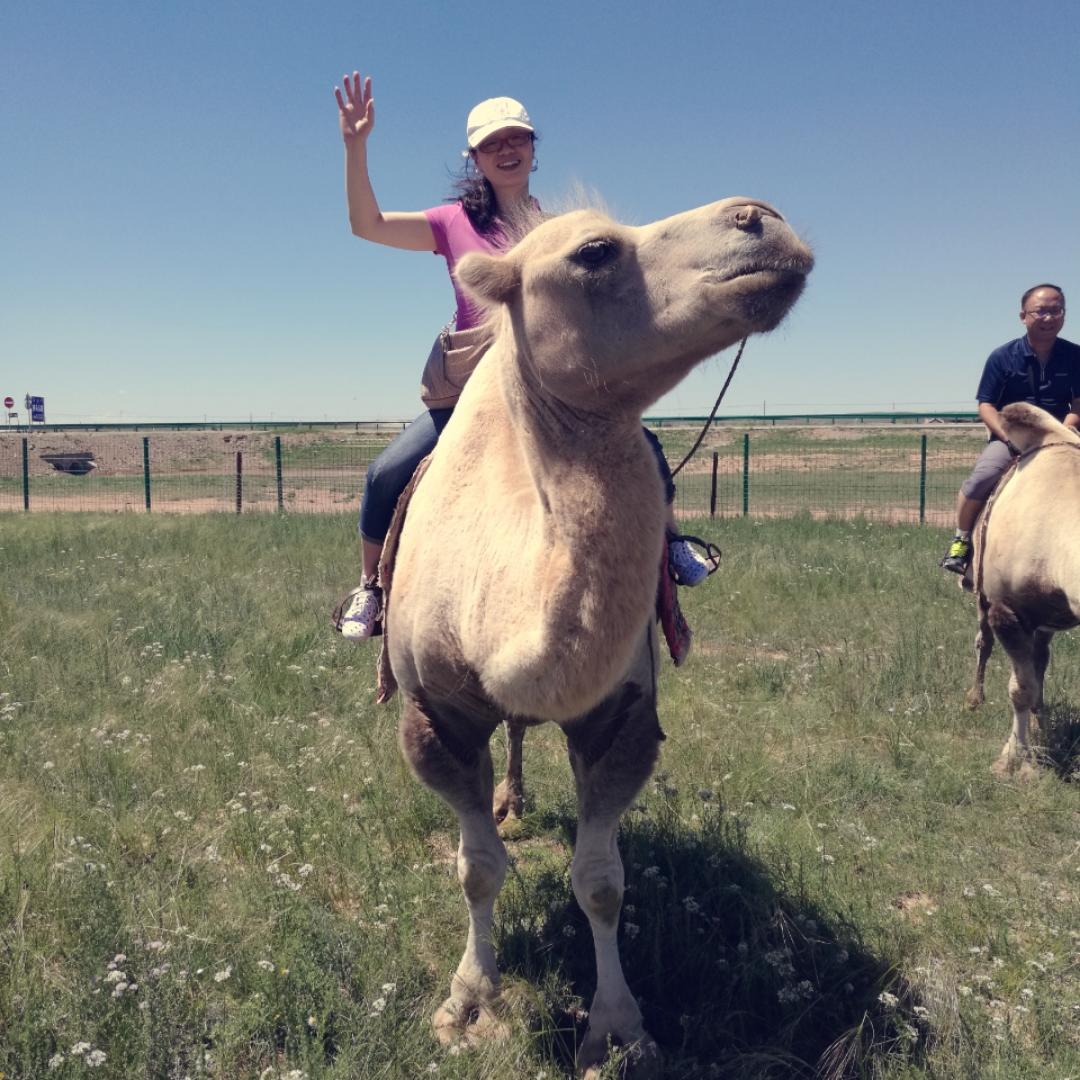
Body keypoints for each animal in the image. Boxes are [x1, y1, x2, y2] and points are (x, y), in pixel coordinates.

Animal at [380, 196, 812, 1071]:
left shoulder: (624, 713)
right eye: (594, 252)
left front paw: (619, 1029)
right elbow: (477, 870)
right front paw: (467, 1003)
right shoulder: (434, 716)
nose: (762, 217)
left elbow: (602, 881)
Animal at [967, 401, 1080, 773]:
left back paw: (1039, 720)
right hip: (982, 596)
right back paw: (974, 700)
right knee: (983, 643)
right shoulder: (1006, 610)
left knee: (1040, 658)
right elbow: (1020, 688)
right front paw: (1012, 759)